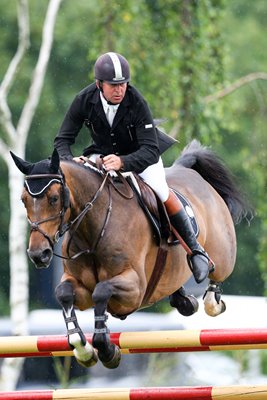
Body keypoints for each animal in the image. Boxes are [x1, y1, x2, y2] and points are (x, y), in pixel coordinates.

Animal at [9, 140, 249, 368]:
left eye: (53, 198)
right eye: (23, 200)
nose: (38, 254)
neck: (95, 229)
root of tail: (188, 170)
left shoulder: (135, 289)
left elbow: (101, 291)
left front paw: (107, 350)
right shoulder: (79, 287)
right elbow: (64, 293)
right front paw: (83, 349)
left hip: (223, 255)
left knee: (215, 278)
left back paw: (209, 294)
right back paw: (184, 300)